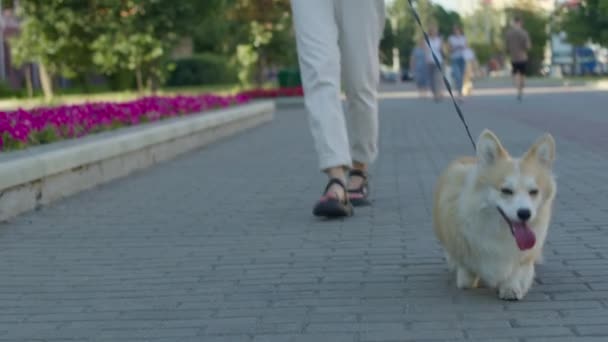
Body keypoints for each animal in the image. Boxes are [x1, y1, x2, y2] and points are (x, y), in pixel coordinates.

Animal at [432, 130, 556, 300]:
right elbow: (467, 277)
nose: (525, 213)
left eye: (534, 192)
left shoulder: (524, 257)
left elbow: (517, 271)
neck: (501, 232)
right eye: (506, 191)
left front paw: (510, 287)